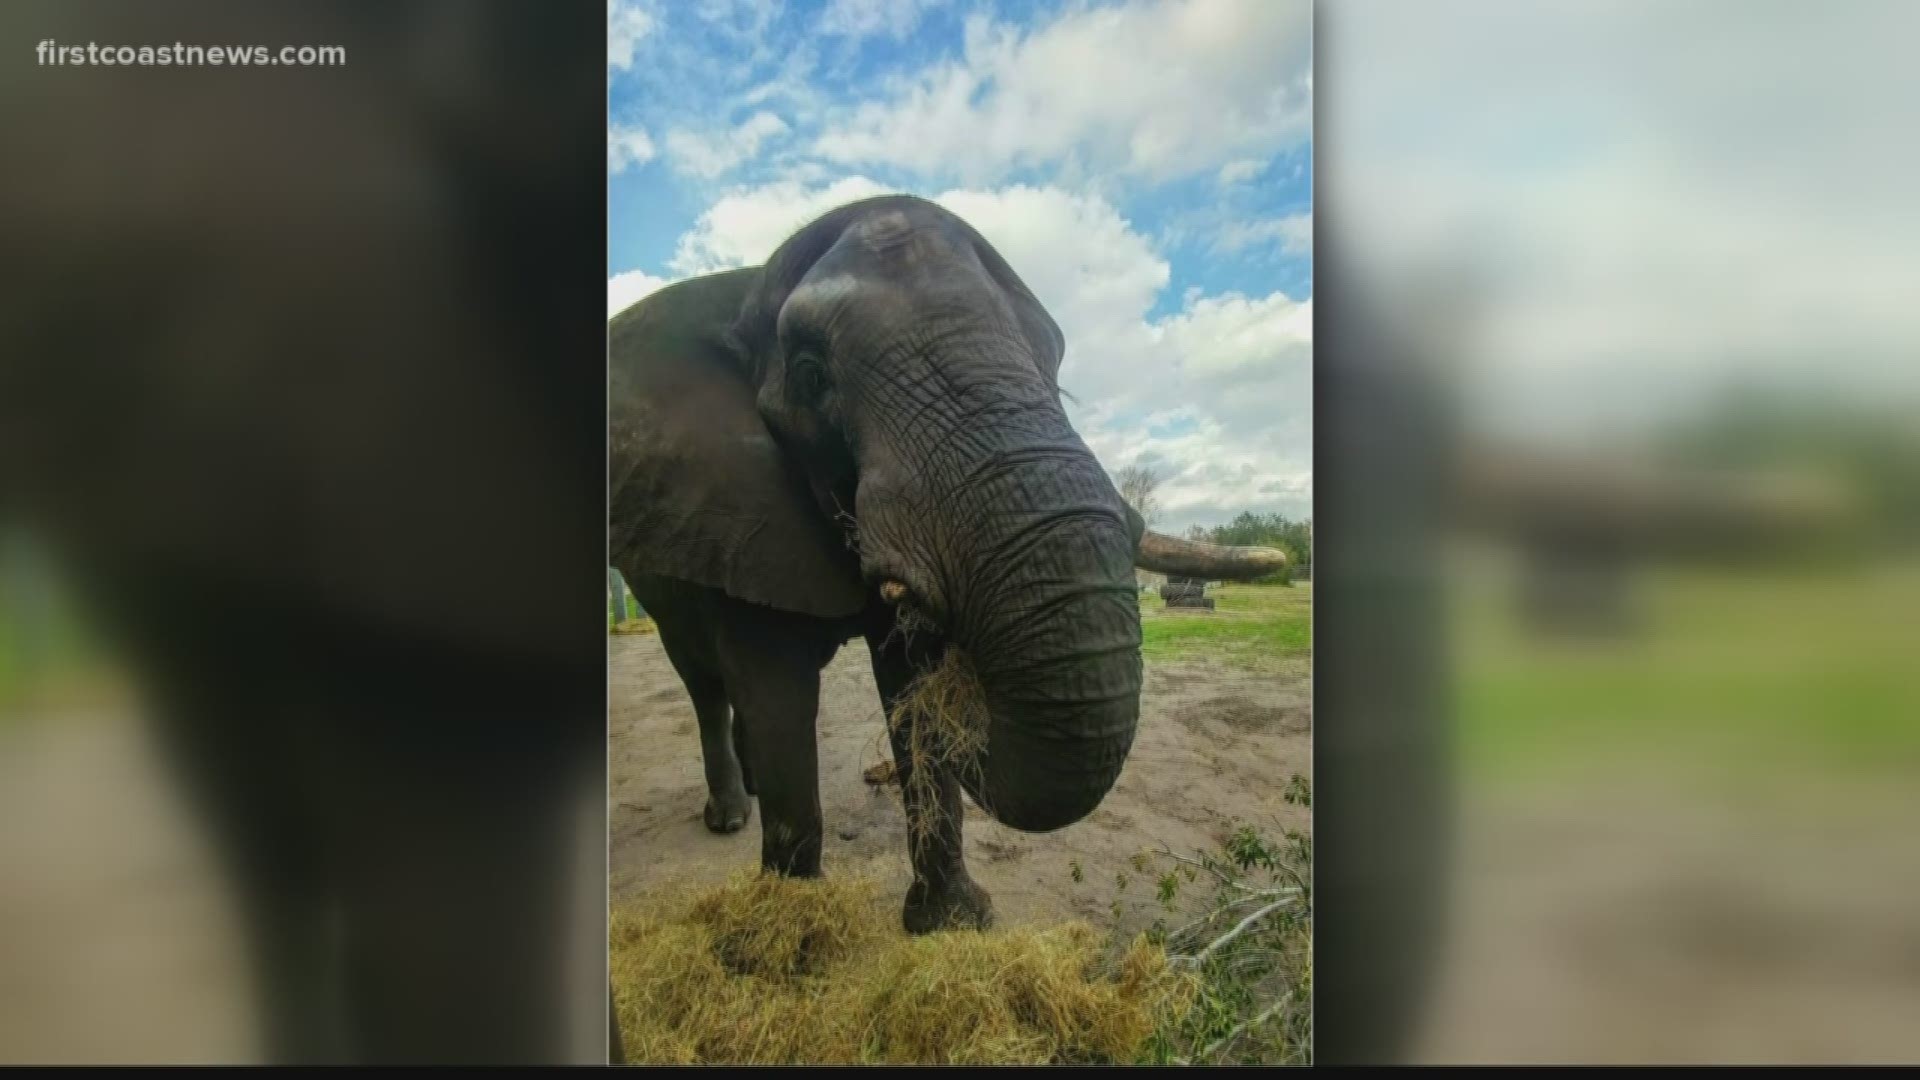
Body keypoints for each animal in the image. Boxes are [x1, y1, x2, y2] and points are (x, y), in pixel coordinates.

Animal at [606, 191, 1282, 926]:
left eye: (1054, 356)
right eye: (812, 376)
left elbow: (912, 688)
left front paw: (951, 926)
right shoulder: (740, 512)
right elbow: (779, 691)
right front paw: (793, 931)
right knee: (702, 680)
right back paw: (730, 815)